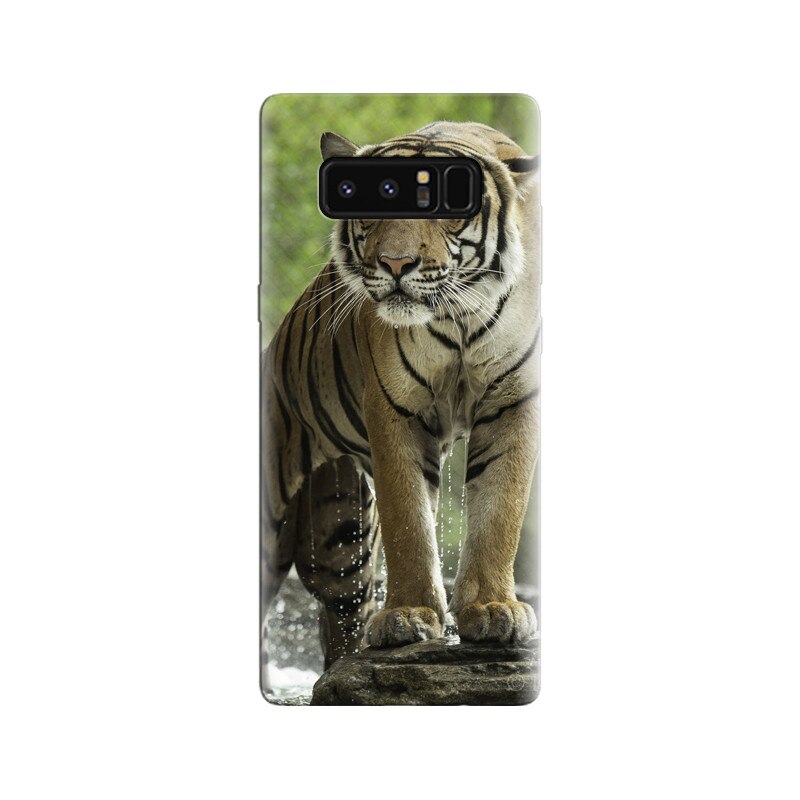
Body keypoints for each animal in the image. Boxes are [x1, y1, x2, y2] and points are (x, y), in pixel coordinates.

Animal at [261, 121, 540, 678]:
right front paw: (408, 616)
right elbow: (409, 519)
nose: (395, 263)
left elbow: (500, 508)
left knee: (340, 618)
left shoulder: (514, 401)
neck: (460, 317)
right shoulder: (395, 409)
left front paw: (493, 609)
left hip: (341, 539)